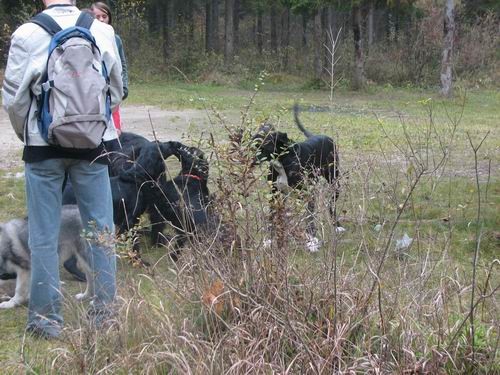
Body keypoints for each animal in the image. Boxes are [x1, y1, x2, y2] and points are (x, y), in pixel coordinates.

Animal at [254, 106, 344, 251]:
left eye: (262, 146)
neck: (282, 161)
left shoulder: (308, 194)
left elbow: (309, 218)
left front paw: (312, 241)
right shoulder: (274, 194)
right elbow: (271, 217)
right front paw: (269, 240)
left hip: (334, 182)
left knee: (332, 205)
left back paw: (337, 225)